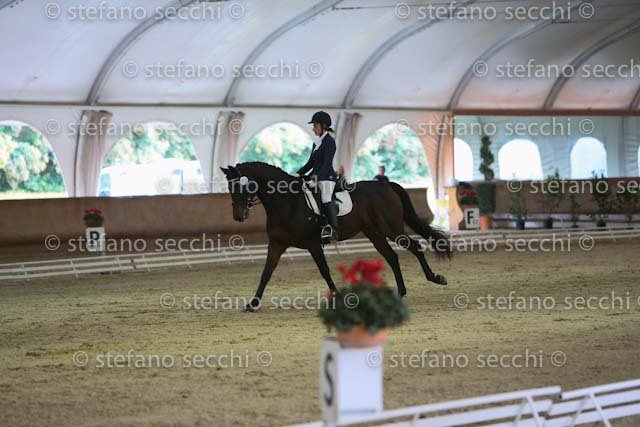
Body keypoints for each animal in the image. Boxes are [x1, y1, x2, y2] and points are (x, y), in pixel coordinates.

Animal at [220, 162, 450, 312]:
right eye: (230, 187)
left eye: (241, 185)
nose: (239, 216)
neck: (287, 202)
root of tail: (386, 185)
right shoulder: (277, 244)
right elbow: (266, 273)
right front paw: (253, 303)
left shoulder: (313, 244)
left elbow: (324, 270)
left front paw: (339, 297)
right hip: (374, 232)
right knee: (392, 257)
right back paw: (399, 293)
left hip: (391, 229)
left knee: (415, 247)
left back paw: (435, 278)